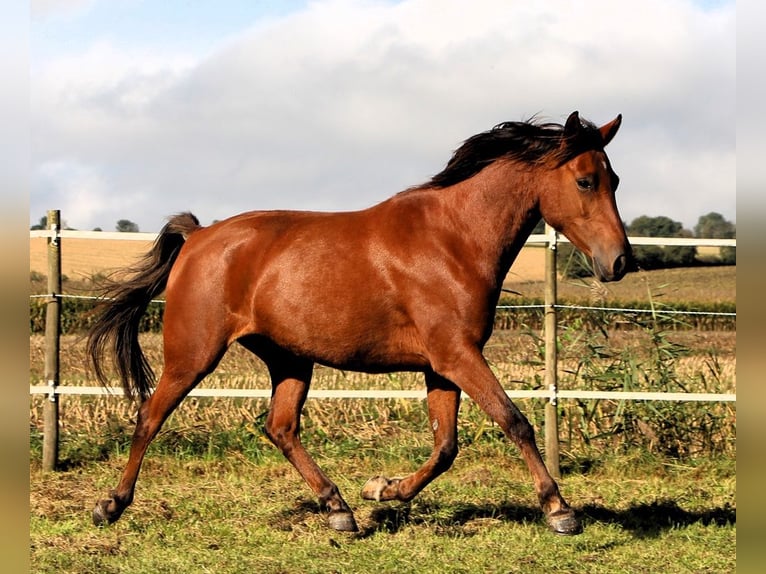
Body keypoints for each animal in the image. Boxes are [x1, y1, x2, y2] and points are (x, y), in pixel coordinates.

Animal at [87, 111, 632, 536]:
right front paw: (560, 511)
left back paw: (339, 510)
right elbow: (513, 420)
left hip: (290, 359)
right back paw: (110, 505)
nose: (621, 262)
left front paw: (382, 489)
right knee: (150, 416)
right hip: (193, 355)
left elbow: (446, 446)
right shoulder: (457, 355)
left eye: (617, 181)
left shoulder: (441, 364)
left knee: (280, 427)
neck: (454, 239)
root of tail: (199, 236)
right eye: (585, 180)